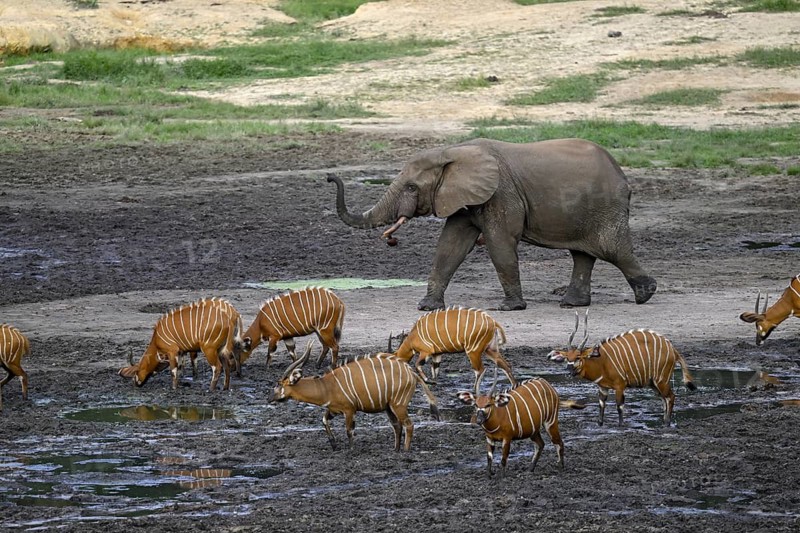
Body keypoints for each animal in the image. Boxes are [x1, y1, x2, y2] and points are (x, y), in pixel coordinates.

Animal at [270, 342, 440, 451]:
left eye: (279, 384)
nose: (269, 398)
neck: (326, 386)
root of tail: (412, 373)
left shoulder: (349, 410)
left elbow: (349, 430)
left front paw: (351, 450)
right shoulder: (333, 409)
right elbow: (324, 420)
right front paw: (334, 444)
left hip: (399, 405)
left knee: (409, 425)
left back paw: (405, 452)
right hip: (388, 407)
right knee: (397, 426)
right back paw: (395, 450)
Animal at [327, 138, 657, 311]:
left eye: (410, 187)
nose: (330, 176)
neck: (455, 152)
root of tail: (621, 174)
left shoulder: (501, 194)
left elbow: (500, 243)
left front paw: (509, 308)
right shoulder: (464, 198)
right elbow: (450, 246)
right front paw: (427, 307)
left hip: (606, 204)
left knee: (611, 248)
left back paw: (645, 294)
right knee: (583, 254)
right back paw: (572, 304)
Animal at [548, 311, 696, 426]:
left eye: (578, 357)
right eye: (567, 358)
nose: (569, 370)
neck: (601, 362)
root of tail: (673, 350)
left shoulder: (620, 385)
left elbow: (619, 406)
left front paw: (620, 426)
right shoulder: (603, 387)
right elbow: (601, 405)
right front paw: (600, 424)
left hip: (661, 380)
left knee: (670, 397)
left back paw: (667, 423)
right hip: (653, 383)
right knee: (664, 399)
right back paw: (664, 420)